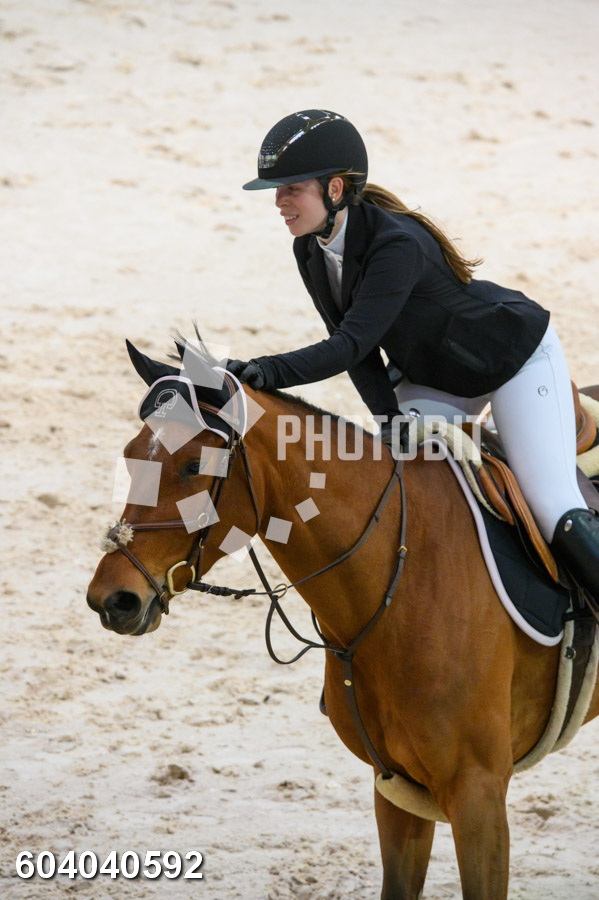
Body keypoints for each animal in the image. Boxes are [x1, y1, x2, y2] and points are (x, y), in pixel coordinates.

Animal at [86, 339, 599, 899]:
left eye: (196, 462)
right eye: (132, 455)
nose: (112, 600)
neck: (401, 579)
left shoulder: (479, 793)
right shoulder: (397, 787)